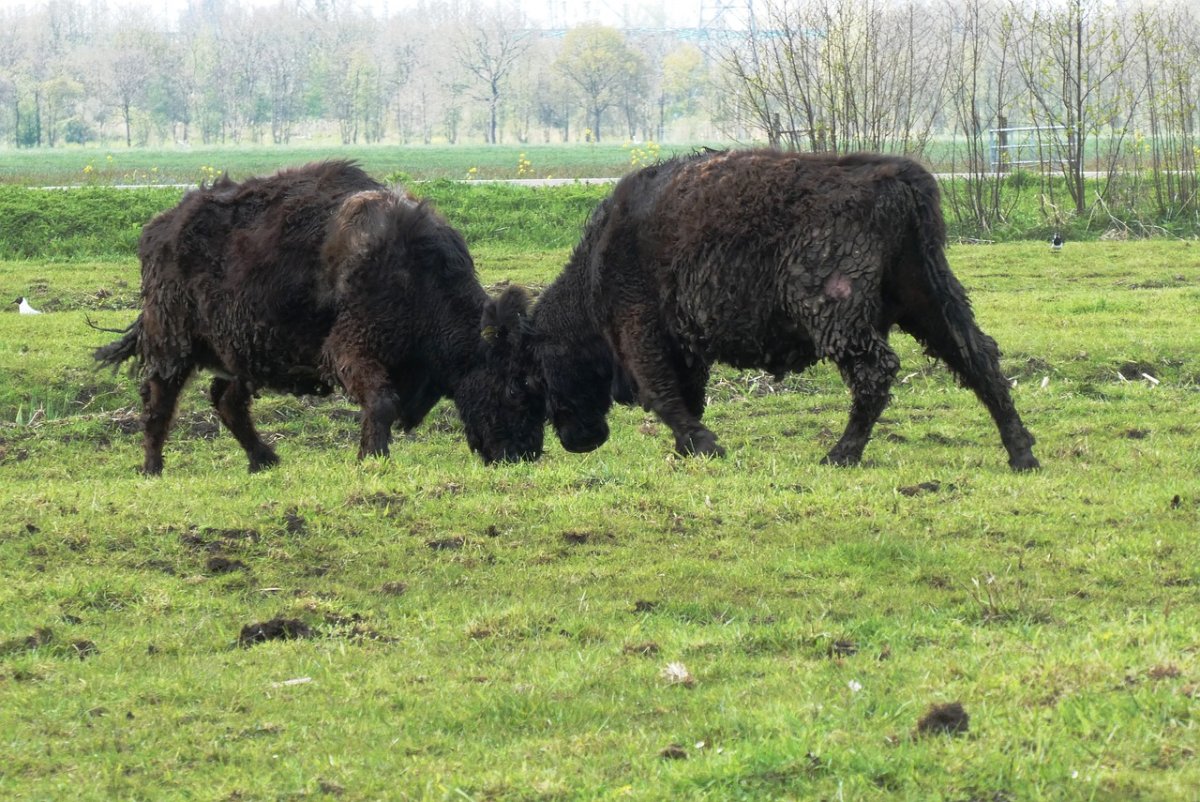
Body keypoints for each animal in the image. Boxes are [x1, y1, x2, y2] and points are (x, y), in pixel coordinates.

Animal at [95, 160, 538, 474]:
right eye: (512, 387)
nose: (524, 454)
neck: (417, 273)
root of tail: (160, 227)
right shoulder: (349, 350)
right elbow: (381, 402)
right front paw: (372, 458)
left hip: (240, 353)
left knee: (225, 399)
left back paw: (264, 460)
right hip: (173, 342)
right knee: (159, 399)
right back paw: (153, 467)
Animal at [458, 149, 1040, 471]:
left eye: (521, 381)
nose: (508, 454)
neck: (599, 262)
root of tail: (894, 175)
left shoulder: (640, 329)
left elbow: (663, 396)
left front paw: (705, 447)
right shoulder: (683, 345)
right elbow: (685, 397)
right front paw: (688, 448)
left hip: (836, 310)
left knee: (876, 372)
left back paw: (840, 455)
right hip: (929, 298)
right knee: (979, 358)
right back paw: (1021, 454)